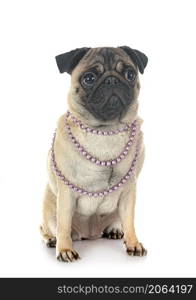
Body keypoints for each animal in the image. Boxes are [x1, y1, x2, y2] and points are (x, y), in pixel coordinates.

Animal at [40, 45, 149, 262]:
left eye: (130, 74)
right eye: (89, 78)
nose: (112, 79)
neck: (106, 132)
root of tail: (89, 233)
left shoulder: (129, 190)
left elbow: (129, 220)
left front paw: (133, 243)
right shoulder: (66, 194)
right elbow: (63, 224)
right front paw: (65, 249)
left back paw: (114, 229)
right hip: (49, 205)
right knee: (48, 226)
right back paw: (52, 239)